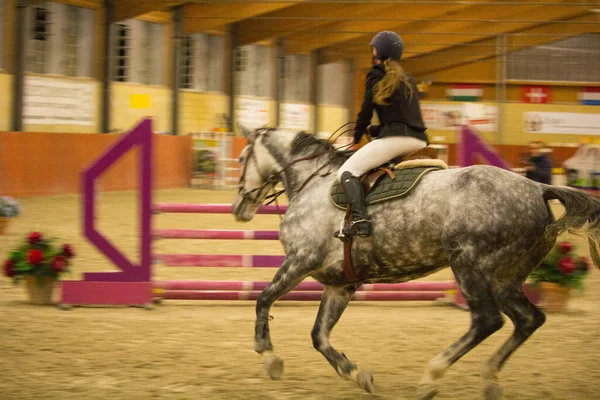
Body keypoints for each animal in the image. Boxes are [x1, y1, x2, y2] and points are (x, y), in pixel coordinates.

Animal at [231, 126, 600, 398]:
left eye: (242, 157)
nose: (238, 208)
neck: (314, 182)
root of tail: (537, 188)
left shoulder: (300, 260)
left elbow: (263, 300)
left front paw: (270, 357)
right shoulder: (340, 285)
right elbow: (319, 336)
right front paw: (357, 374)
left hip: (469, 265)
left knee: (486, 321)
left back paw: (431, 378)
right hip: (504, 278)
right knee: (527, 319)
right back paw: (490, 380)